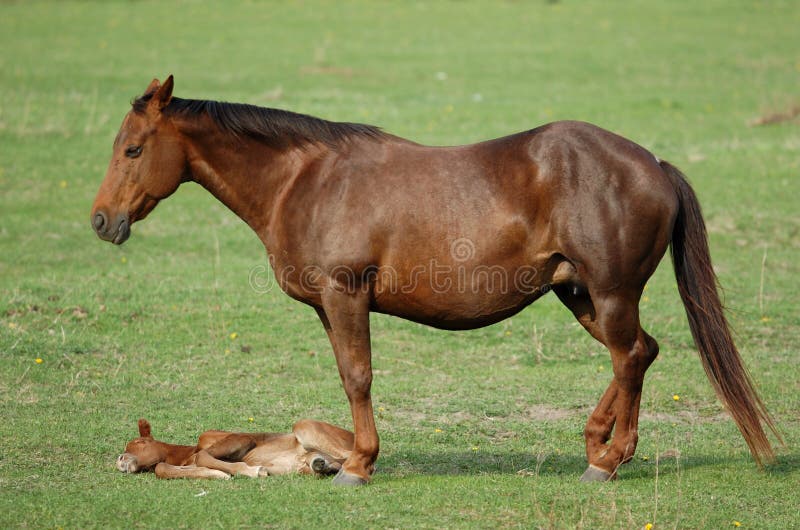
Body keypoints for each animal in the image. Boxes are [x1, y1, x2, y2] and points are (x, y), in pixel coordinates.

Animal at [117, 416, 354, 478]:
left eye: (139, 442)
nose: (120, 459)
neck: (187, 454)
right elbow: (162, 468)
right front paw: (215, 474)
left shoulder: (241, 438)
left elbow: (203, 456)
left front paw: (252, 471)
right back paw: (319, 463)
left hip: (304, 425)